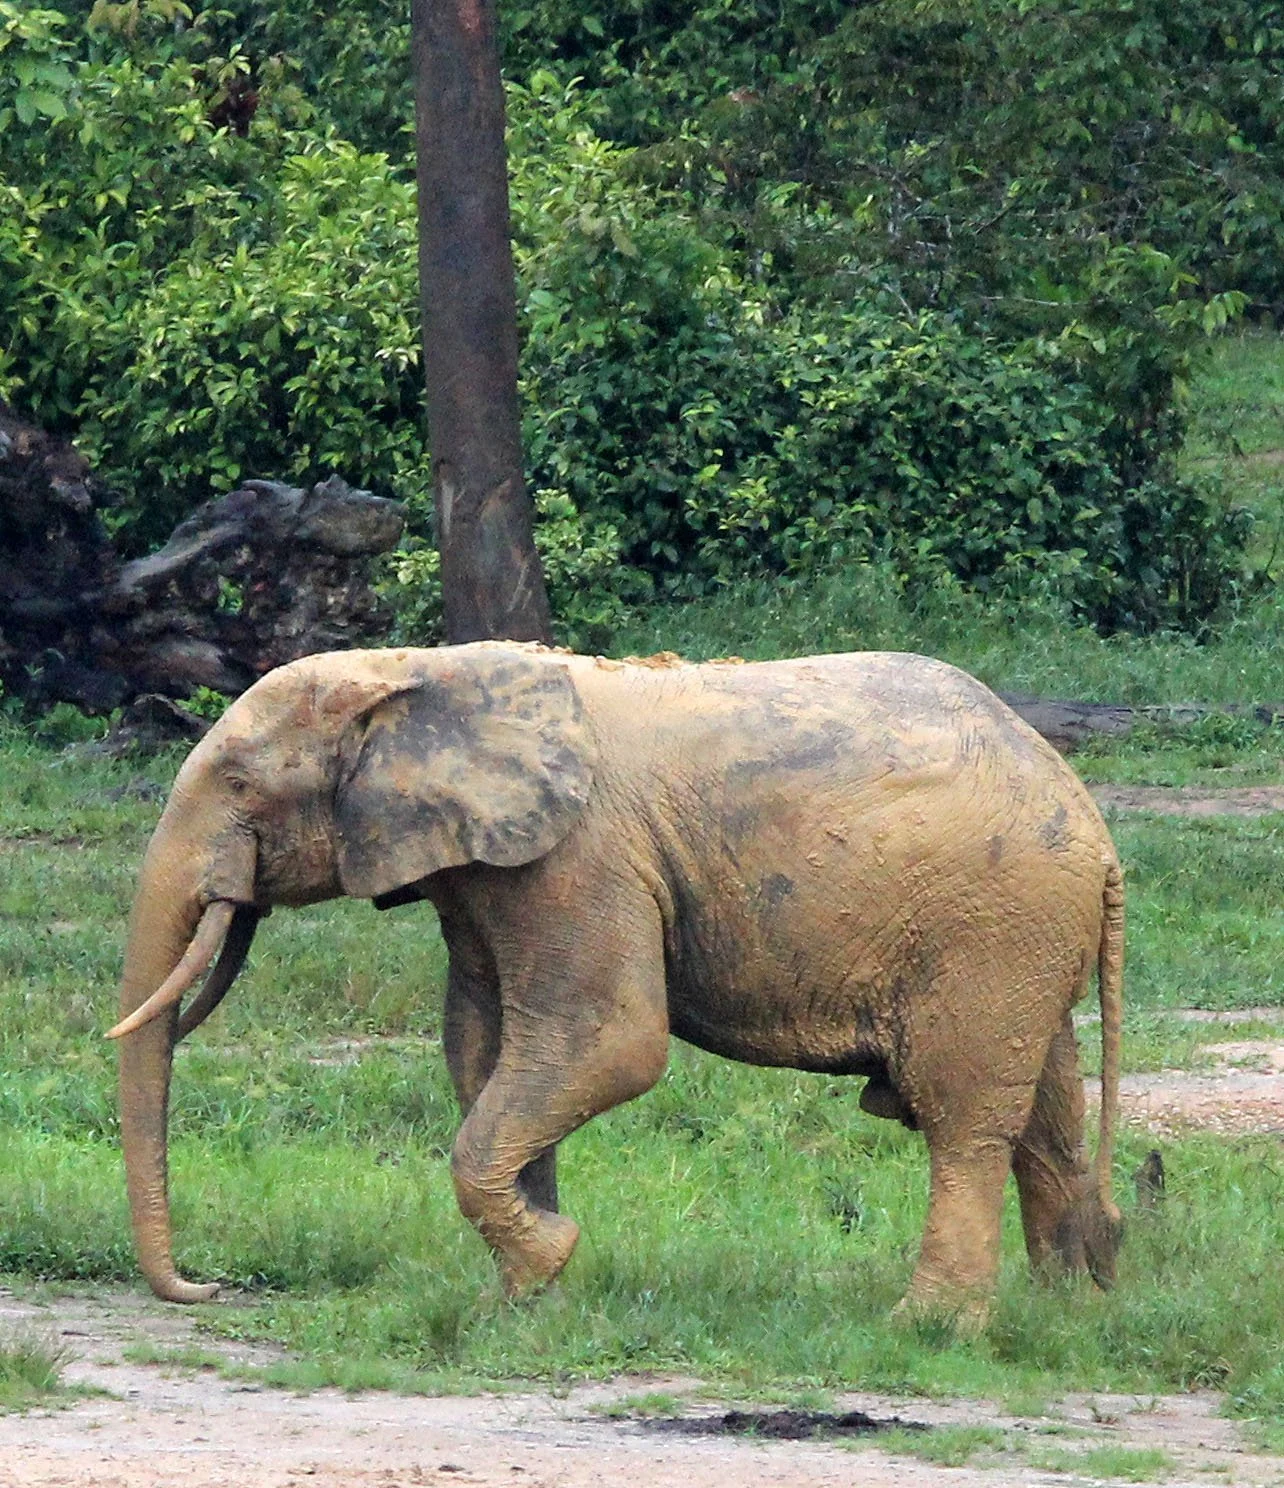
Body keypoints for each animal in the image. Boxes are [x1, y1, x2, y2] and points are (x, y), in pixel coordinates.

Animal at [110, 641, 1123, 1318]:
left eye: (240, 785)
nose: (209, 1286)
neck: (420, 669)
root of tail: (1096, 828)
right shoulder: (485, 870)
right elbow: (484, 1049)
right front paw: (530, 1300)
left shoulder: (580, 857)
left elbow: (606, 1043)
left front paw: (542, 1267)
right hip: (1023, 937)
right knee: (1046, 1108)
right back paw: (1066, 1311)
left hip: (991, 925)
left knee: (965, 1119)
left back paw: (926, 1328)